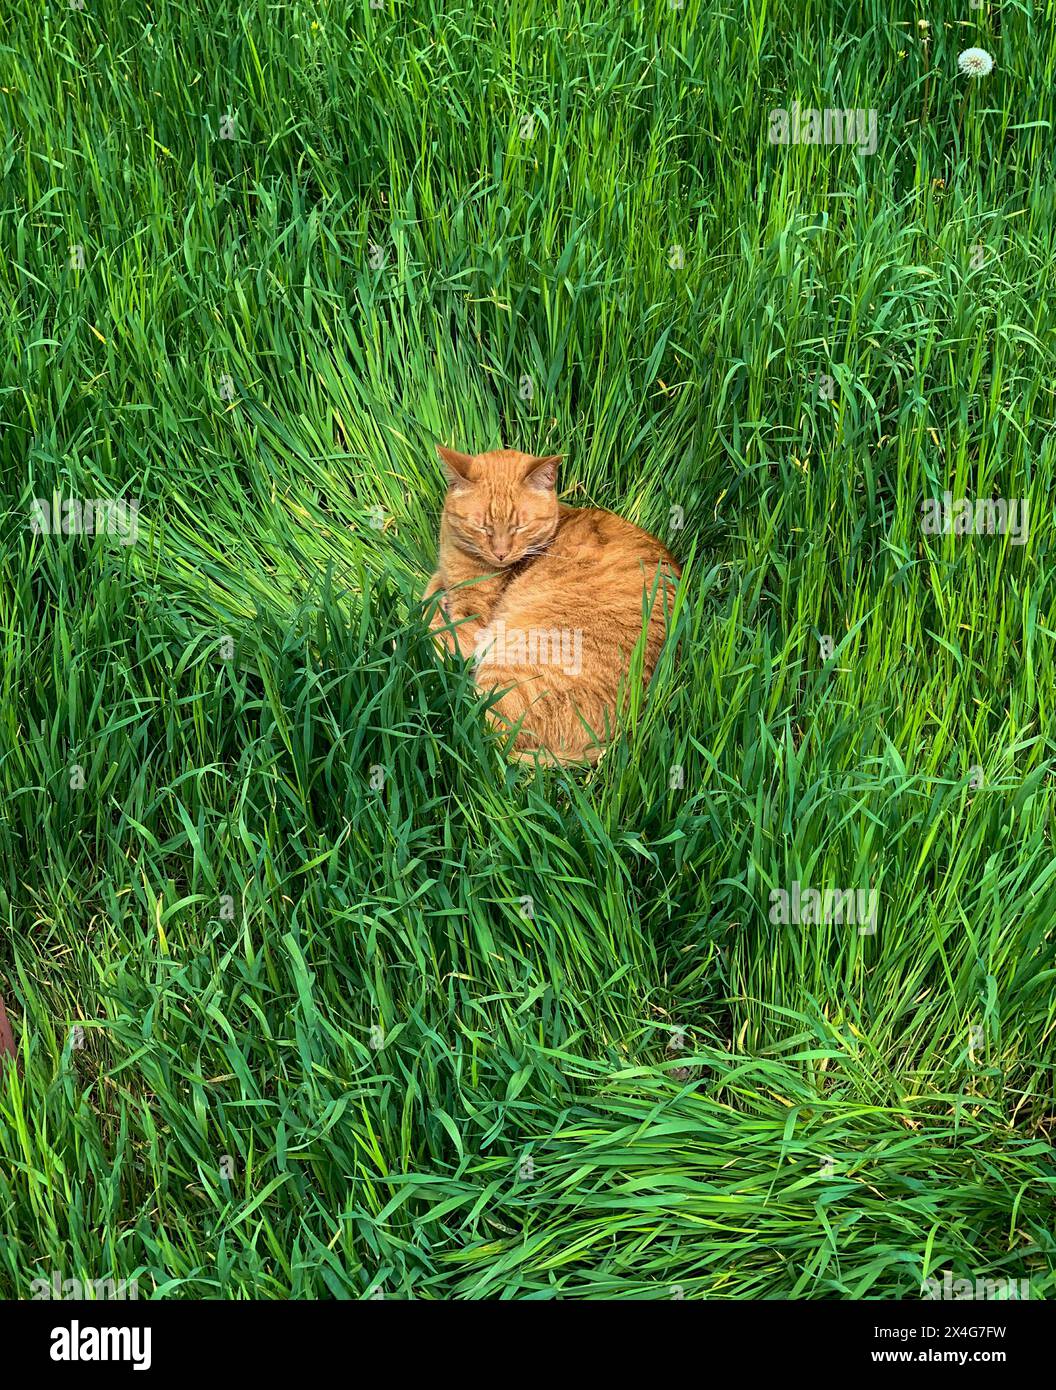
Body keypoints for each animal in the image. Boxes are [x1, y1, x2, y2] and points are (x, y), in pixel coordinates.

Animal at [425, 444, 680, 767]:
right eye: (481, 527)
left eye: (520, 527)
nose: (501, 553)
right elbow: (428, 597)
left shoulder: (471, 622)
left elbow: (424, 632)